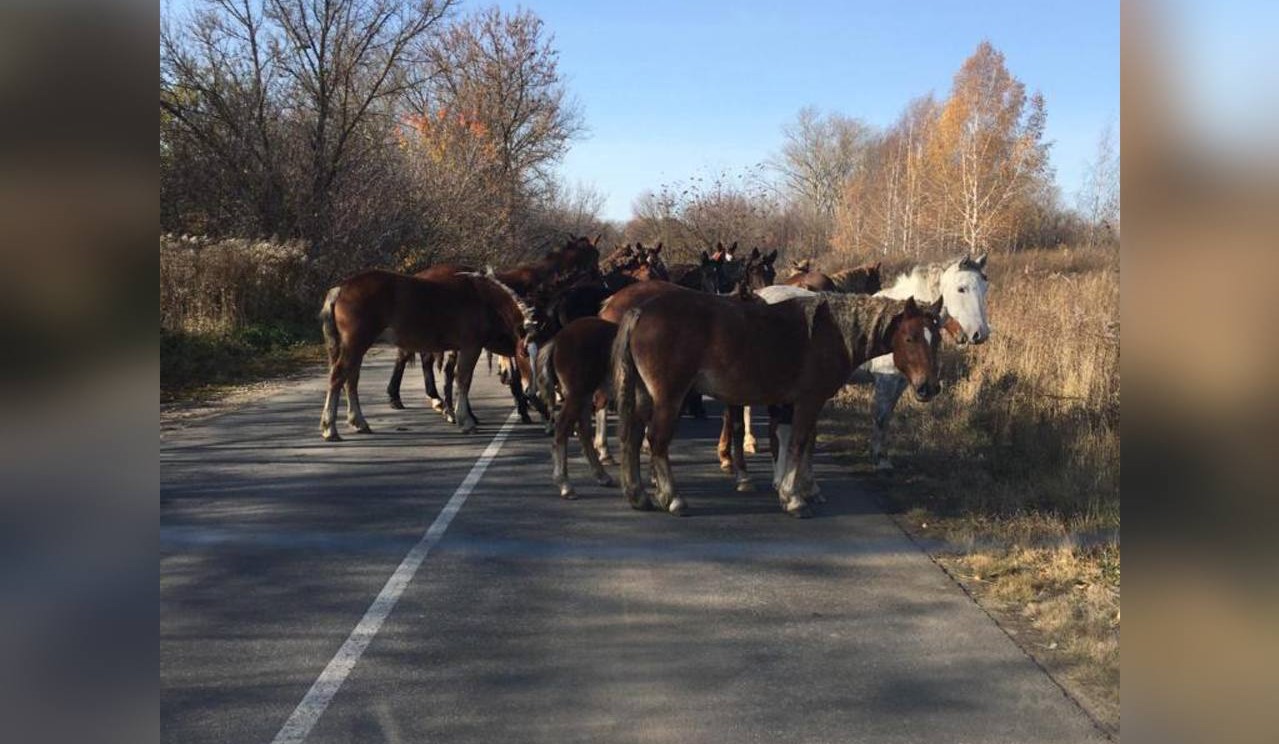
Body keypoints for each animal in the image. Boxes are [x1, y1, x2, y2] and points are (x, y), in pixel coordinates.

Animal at [322, 271, 537, 439]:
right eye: (524, 353)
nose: (532, 393)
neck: (485, 299)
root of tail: (341, 288)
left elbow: (455, 378)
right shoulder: (471, 346)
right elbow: (463, 379)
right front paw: (465, 420)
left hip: (357, 347)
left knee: (351, 380)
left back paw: (359, 422)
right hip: (355, 344)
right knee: (337, 377)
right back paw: (329, 428)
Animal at [608, 286, 941, 519]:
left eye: (936, 338)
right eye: (910, 338)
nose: (929, 387)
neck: (831, 333)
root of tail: (641, 311)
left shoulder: (790, 404)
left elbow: (792, 442)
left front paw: (791, 489)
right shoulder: (809, 401)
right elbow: (799, 443)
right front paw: (795, 499)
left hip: (644, 396)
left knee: (633, 437)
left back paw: (639, 496)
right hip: (669, 397)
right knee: (656, 440)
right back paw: (673, 498)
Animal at [752, 253, 992, 480]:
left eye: (984, 287)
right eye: (961, 288)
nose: (980, 334)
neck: (897, 325)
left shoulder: (900, 382)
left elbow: (886, 418)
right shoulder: (886, 380)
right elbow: (881, 417)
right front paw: (881, 460)